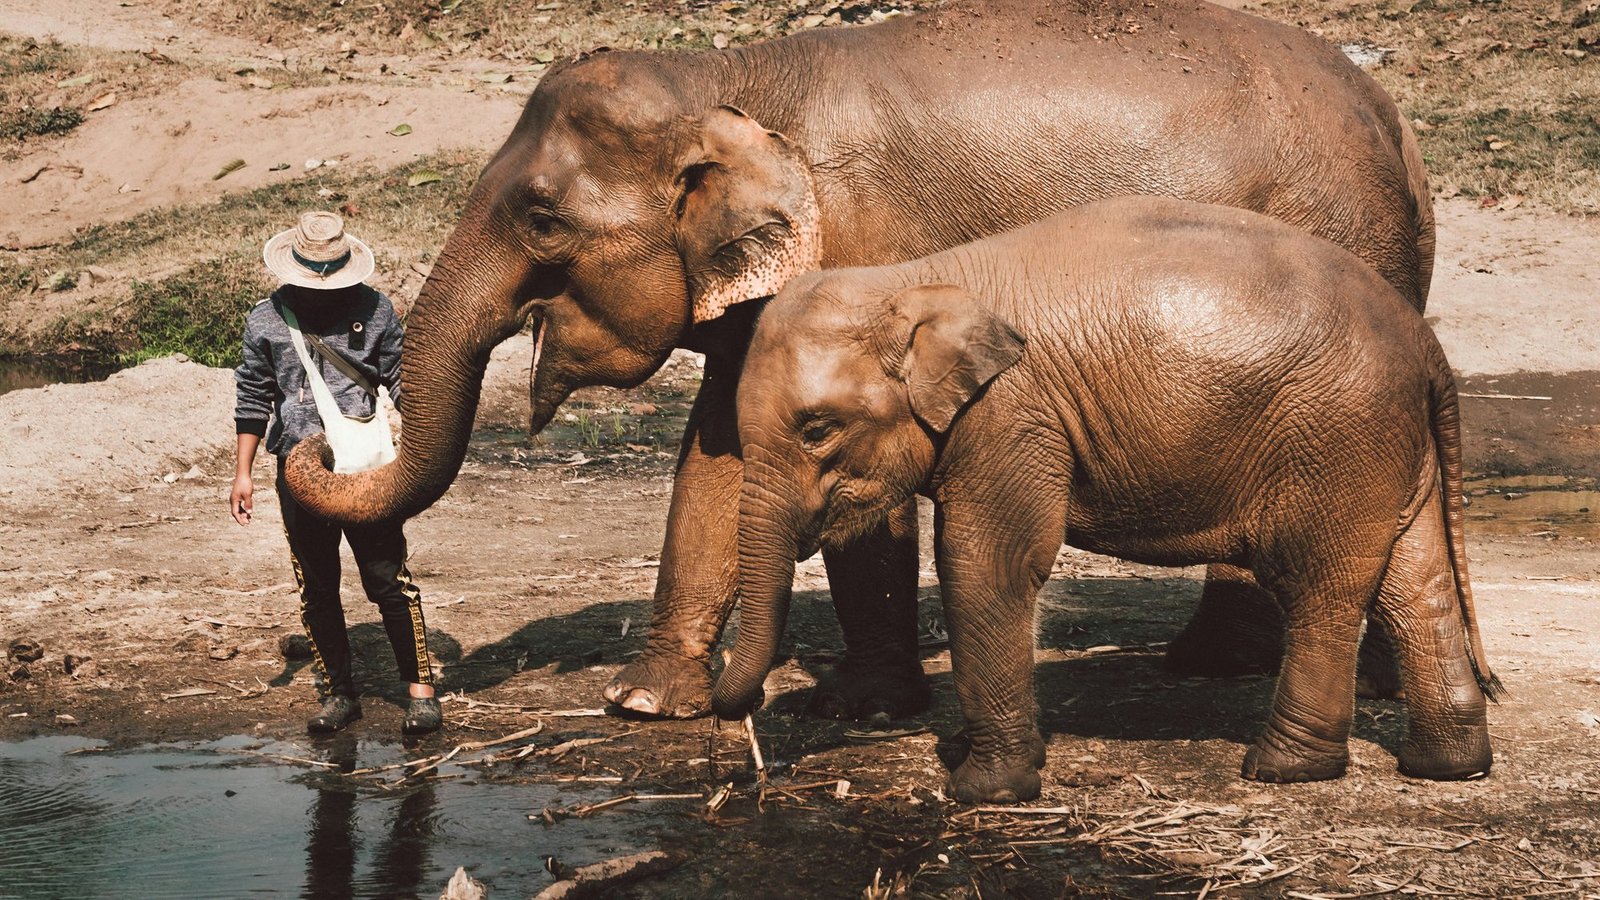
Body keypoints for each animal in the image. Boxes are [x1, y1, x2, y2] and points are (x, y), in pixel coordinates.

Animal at [284, 0, 1437, 721]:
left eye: (540, 215)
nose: (309, 446)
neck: (731, 81)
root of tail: (1398, 122)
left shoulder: (869, 247)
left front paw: (863, 704)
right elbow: (716, 459)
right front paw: (645, 702)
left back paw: (1228, 666)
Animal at [711, 196, 1500, 803]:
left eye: (817, 429)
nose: (743, 735)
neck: (915, 282)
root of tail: (1426, 344)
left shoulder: (1012, 415)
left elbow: (989, 564)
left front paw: (984, 791)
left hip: (1336, 437)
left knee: (1319, 587)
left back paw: (1281, 770)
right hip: (1385, 445)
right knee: (1413, 579)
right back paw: (1449, 766)